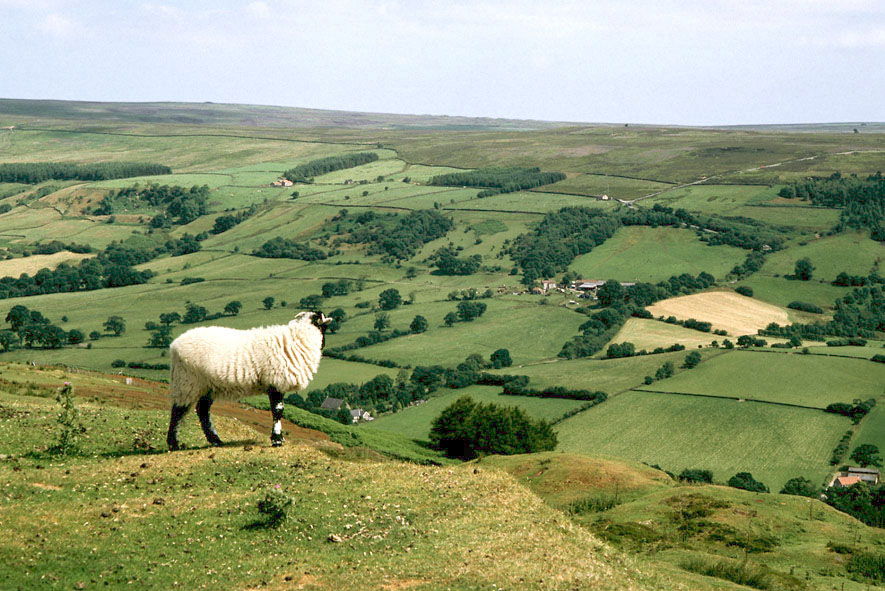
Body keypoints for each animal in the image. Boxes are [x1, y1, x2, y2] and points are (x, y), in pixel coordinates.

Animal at [166, 312, 332, 450]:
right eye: (324, 326)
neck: (298, 338)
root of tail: (174, 345)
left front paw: (278, 439)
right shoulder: (276, 382)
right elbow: (278, 411)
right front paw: (277, 440)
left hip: (208, 386)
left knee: (202, 410)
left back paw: (216, 441)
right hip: (187, 381)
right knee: (178, 411)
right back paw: (174, 444)